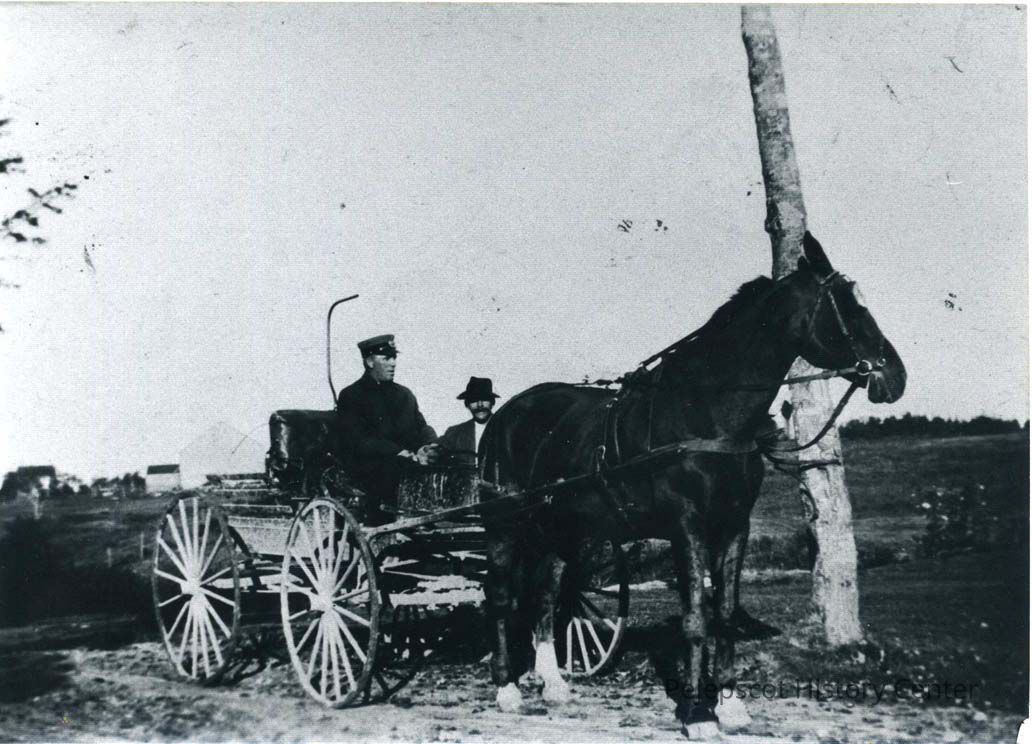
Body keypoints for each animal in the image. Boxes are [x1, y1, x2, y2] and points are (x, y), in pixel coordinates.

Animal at [477, 233, 906, 738]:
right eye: (850, 305)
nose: (894, 376)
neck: (705, 410)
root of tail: (505, 414)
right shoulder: (687, 527)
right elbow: (697, 618)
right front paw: (698, 713)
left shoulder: (734, 526)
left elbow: (724, 614)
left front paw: (731, 705)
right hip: (504, 525)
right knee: (501, 597)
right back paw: (506, 689)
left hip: (562, 527)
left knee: (547, 594)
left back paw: (554, 683)